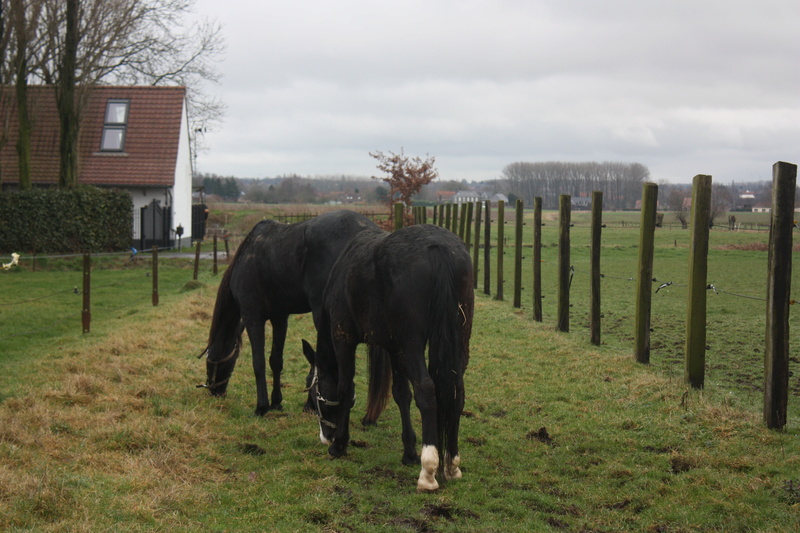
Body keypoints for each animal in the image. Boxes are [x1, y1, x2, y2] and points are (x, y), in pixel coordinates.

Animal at [198, 209, 390, 416]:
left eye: (210, 359)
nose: (214, 391)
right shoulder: (280, 318)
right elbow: (276, 361)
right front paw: (276, 402)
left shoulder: (252, 316)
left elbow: (258, 362)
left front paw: (262, 407)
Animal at [304, 221, 472, 490]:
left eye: (313, 391)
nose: (326, 436)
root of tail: (439, 248)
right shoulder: (394, 348)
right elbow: (401, 394)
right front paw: (409, 452)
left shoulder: (343, 338)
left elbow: (345, 388)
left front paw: (340, 444)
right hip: (456, 340)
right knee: (456, 390)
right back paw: (451, 464)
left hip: (412, 345)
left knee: (426, 390)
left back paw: (428, 471)